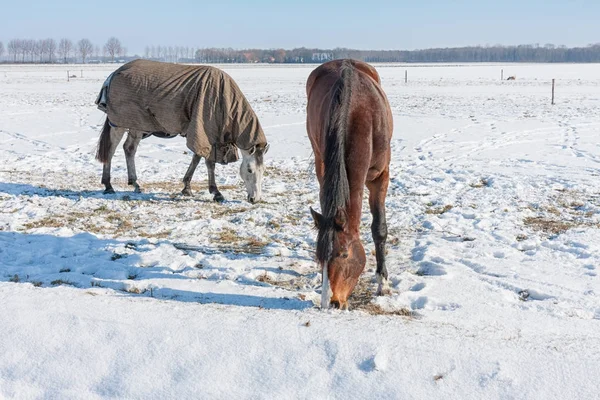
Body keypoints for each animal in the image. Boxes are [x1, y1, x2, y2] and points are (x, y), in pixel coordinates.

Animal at [304, 59, 394, 310]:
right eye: (319, 257)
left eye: (344, 254)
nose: (331, 303)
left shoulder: (380, 176)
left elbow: (379, 228)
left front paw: (382, 282)